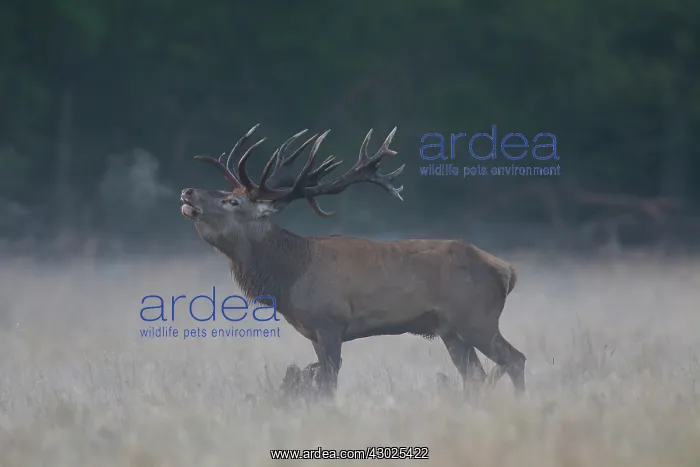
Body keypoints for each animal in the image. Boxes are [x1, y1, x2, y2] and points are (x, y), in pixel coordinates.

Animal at [180, 124, 526, 399]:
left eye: (232, 201)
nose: (188, 192)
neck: (290, 276)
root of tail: (507, 270)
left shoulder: (331, 322)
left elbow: (327, 385)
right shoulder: (314, 333)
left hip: (477, 318)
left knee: (515, 359)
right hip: (451, 330)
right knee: (476, 376)